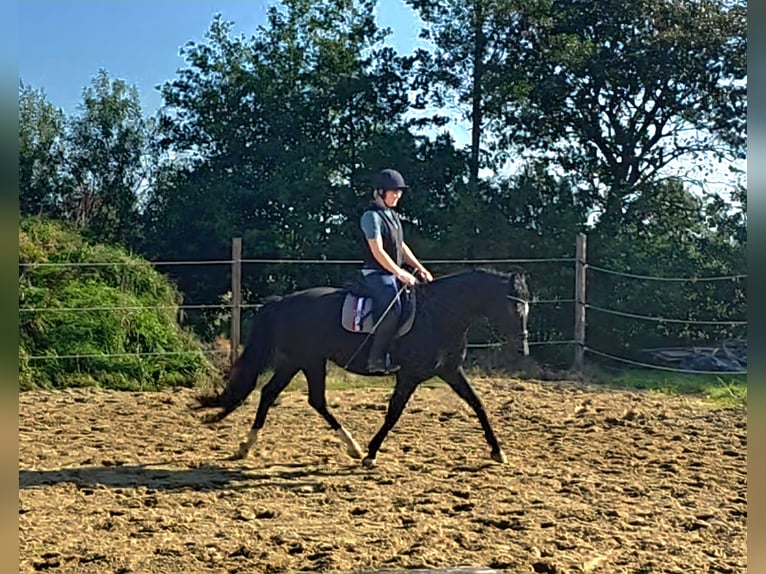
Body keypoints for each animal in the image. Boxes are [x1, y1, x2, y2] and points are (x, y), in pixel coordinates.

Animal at [196, 268, 530, 467]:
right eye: (514, 307)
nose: (522, 348)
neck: (440, 314)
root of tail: (283, 302)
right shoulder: (409, 375)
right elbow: (394, 413)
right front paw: (371, 453)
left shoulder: (449, 371)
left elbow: (478, 404)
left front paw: (498, 451)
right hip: (308, 360)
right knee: (309, 399)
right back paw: (354, 447)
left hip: (297, 361)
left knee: (274, 394)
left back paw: (247, 446)